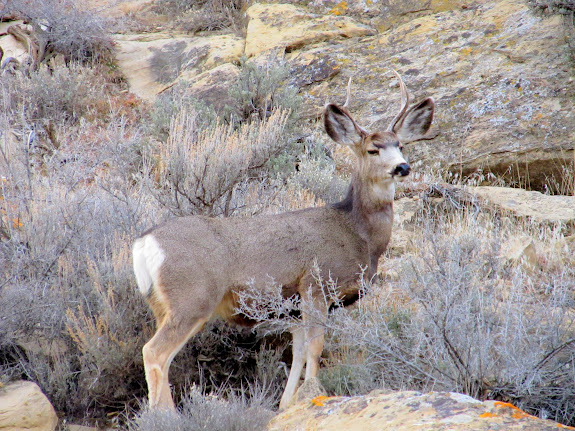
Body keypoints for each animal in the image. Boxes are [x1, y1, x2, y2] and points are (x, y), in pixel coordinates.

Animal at [133, 73, 434, 412]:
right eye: (373, 149)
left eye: (401, 145)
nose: (402, 167)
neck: (358, 235)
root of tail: (144, 243)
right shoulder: (315, 284)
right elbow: (315, 347)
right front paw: (315, 393)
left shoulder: (294, 307)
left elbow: (298, 352)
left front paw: (287, 402)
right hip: (192, 297)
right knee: (154, 352)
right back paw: (166, 416)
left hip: (161, 304)